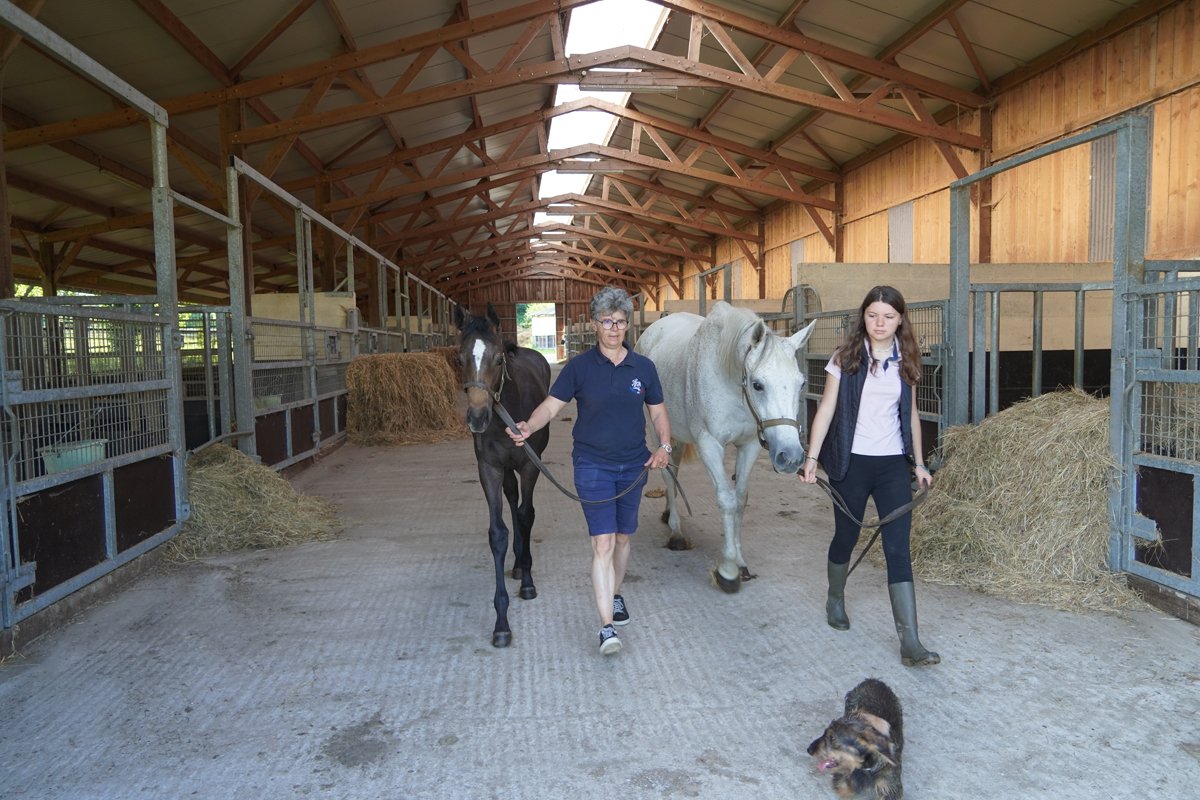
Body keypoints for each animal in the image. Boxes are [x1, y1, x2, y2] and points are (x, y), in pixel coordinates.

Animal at [453, 303, 551, 647]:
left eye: (498, 359)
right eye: (459, 359)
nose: (477, 418)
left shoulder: (530, 466)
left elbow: (526, 515)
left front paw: (528, 583)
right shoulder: (490, 469)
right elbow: (498, 533)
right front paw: (501, 622)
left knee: (522, 509)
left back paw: (523, 567)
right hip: (506, 471)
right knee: (511, 499)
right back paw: (517, 563)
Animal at [635, 301, 816, 593]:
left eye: (802, 384)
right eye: (757, 384)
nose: (790, 457)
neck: (729, 379)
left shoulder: (749, 445)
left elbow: (740, 499)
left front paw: (740, 563)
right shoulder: (709, 444)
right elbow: (726, 500)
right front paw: (728, 570)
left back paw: (667, 513)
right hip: (656, 429)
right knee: (667, 473)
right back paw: (676, 533)